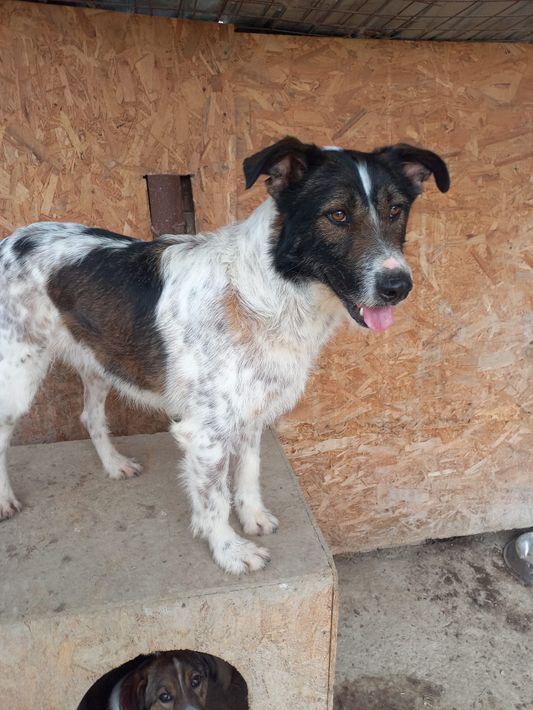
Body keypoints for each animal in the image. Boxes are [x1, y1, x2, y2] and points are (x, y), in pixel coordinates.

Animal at [0, 136, 449, 573]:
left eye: (396, 210)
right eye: (337, 214)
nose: (398, 286)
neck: (267, 294)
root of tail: (11, 238)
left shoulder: (253, 411)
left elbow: (248, 471)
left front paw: (252, 517)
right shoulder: (205, 431)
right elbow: (213, 497)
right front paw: (229, 549)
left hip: (100, 358)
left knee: (91, 416)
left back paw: (113, 465)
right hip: (17, 375)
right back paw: (5, 501)